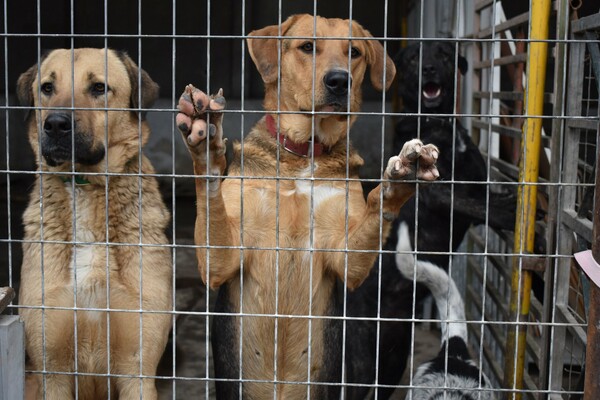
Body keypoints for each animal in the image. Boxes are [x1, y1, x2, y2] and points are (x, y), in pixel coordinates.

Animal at [17, 48, 172, 398]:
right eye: (47, 88)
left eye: (99, 88)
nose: (55, 124)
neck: (84, 184)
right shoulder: (52, 370)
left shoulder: (137, 371)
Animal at [178, 14, 440, 398]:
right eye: (307, 47)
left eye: (354, 52)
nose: (339, 81)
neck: (300, 156)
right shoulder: (221, 261)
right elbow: (213, 199)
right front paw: (208, 145)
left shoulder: (346, 259)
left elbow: (375, 206)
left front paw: (400, 180)